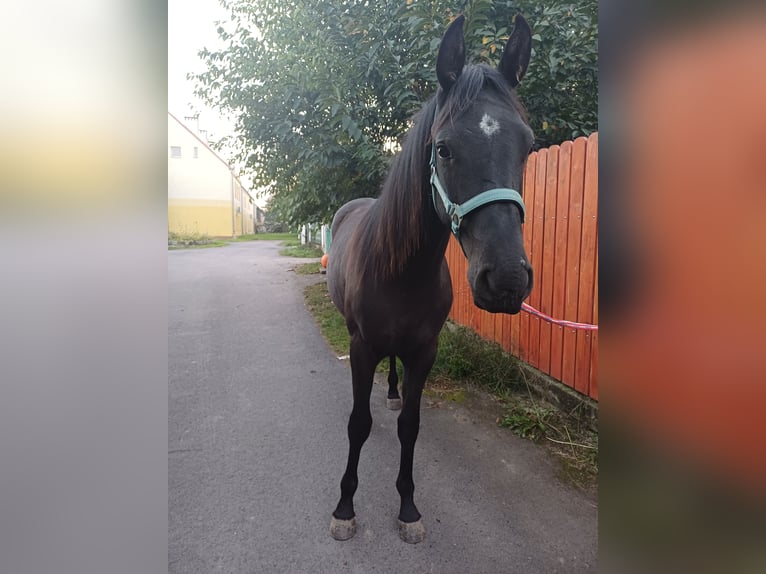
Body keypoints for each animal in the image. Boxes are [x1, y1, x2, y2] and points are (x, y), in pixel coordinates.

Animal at [326, 14, 534, 544]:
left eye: (527, 145)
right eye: (443, 149)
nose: (506, 279)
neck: (404, 272)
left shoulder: (425, 351)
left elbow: (411, 427)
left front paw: (408, 508)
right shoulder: (361, 347)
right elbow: (357, 423)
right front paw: (344, 507)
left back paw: (392, 393)